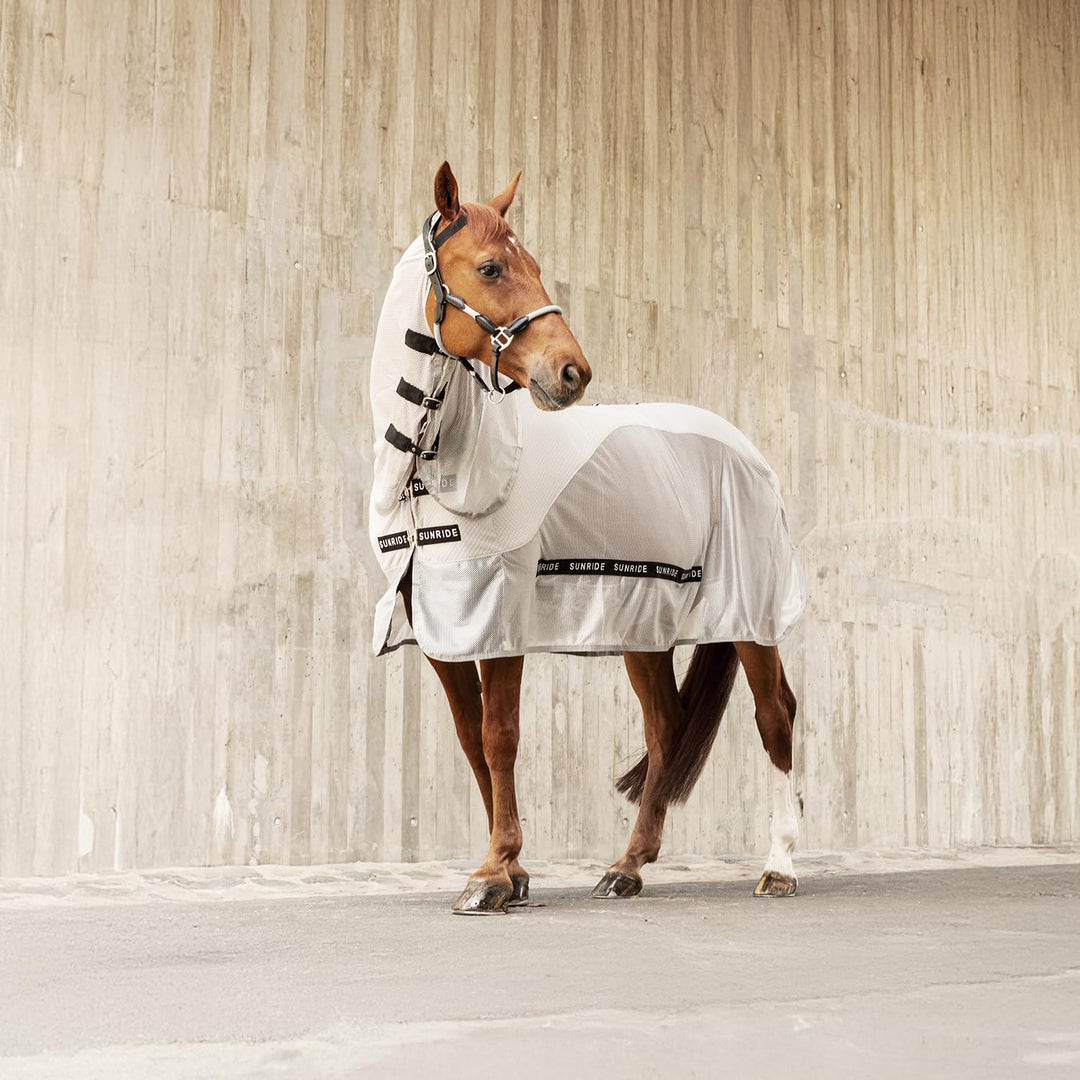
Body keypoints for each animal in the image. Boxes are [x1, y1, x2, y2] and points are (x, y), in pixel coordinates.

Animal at [368, 161, 805, 914]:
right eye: (490, 266)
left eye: (537, 266)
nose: (572, 372)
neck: (437, 478)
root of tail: (746, 451)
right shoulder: (439, 625)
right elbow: (472, 741)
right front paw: (512, 873)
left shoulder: (500, 613)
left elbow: (500, 737)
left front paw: (493, 875)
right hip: (645, 626)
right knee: (665, 728)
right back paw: (627, 867)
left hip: (750, 615)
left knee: (775, 714)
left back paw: (778, 866)